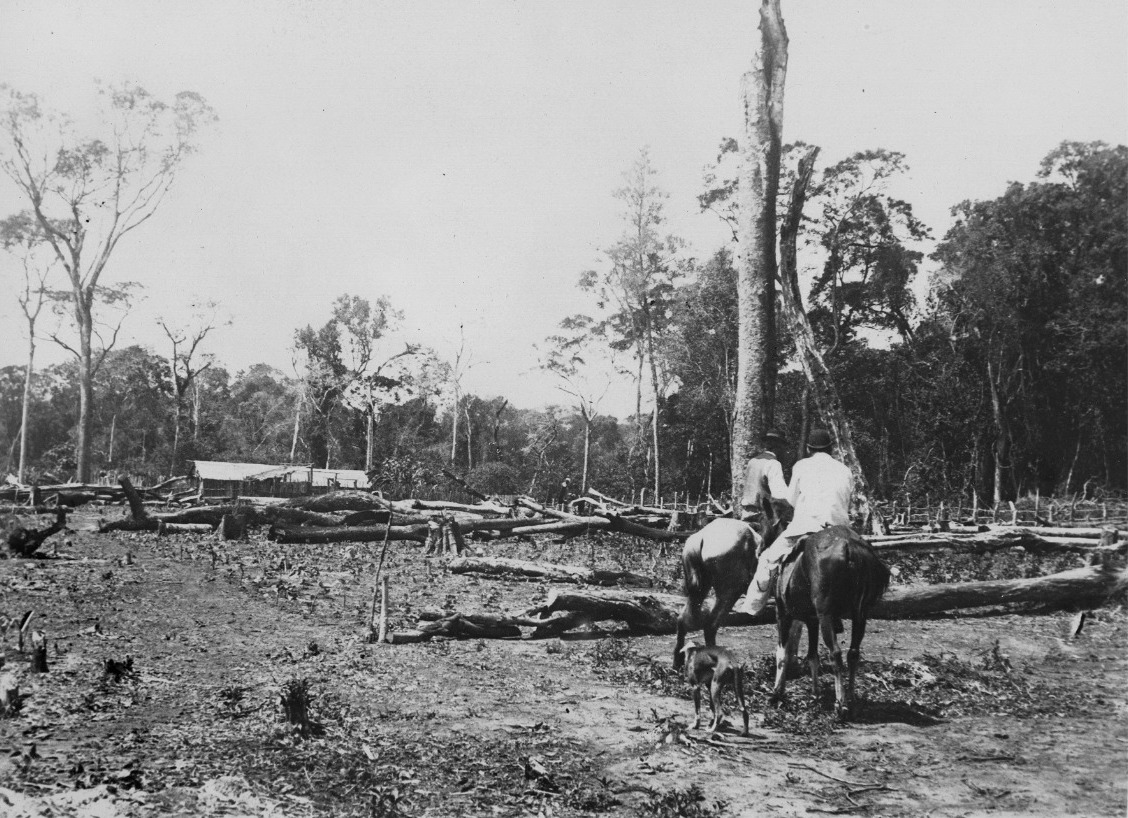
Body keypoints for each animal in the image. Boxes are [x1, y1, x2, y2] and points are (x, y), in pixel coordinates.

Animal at [771, 523, 893, 713]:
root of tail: (849, 545)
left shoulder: (783, 614)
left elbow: (782, 653)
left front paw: (777, 693)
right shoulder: (812, 621)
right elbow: (812, 656)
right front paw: (815, 694)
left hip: (826, 615)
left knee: (835, 653)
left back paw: (841, 703)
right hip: (860, 614)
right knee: (853, 653)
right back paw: (851, 698)